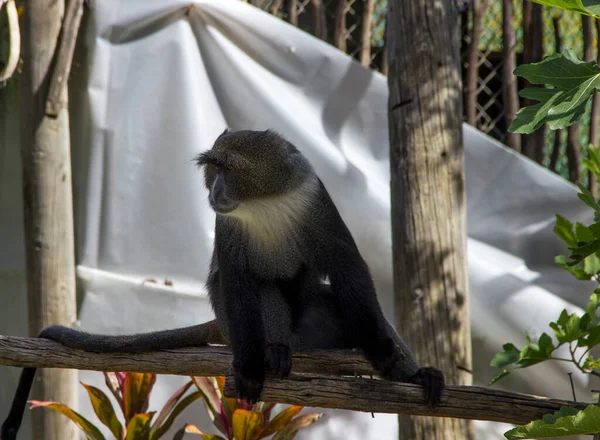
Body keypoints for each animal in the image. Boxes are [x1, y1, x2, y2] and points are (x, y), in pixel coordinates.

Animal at [0, 129, 442, 438]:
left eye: (229, 167)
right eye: (213, 167)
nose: (214, 189)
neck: (262, 202)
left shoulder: (315, 200)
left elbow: (349, 269)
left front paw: (392, 360)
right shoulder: (229, 232)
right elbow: (241, 283)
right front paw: (249, 370)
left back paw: (410, 373)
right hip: (236, 323)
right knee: (264, 295)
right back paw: (277, 351)